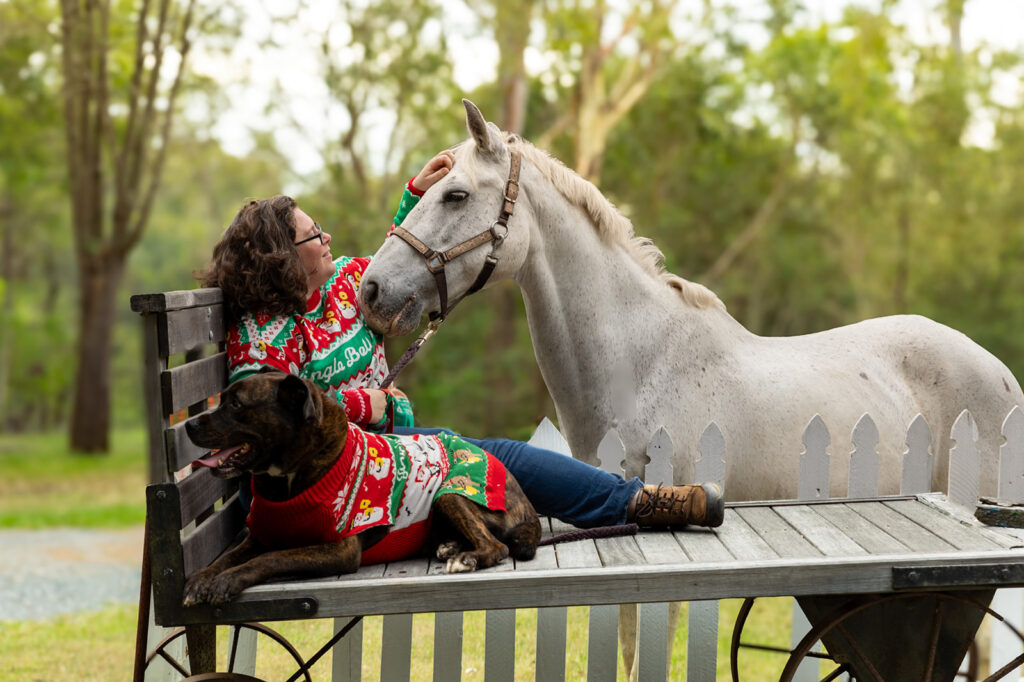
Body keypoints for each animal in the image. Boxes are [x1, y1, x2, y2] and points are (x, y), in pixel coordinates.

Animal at [182, 368, 544, 602]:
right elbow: (224, 559)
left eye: (236, 404)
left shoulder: (338, 549)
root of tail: (527, 505)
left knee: (497, 546)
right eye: (222, 399)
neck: (289, 479)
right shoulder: (259, 536)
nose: (188, 425)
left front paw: (227, 581)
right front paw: (201, 579)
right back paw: (450, 547)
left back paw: (465, 558)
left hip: (450, 495)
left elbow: (269, 559)